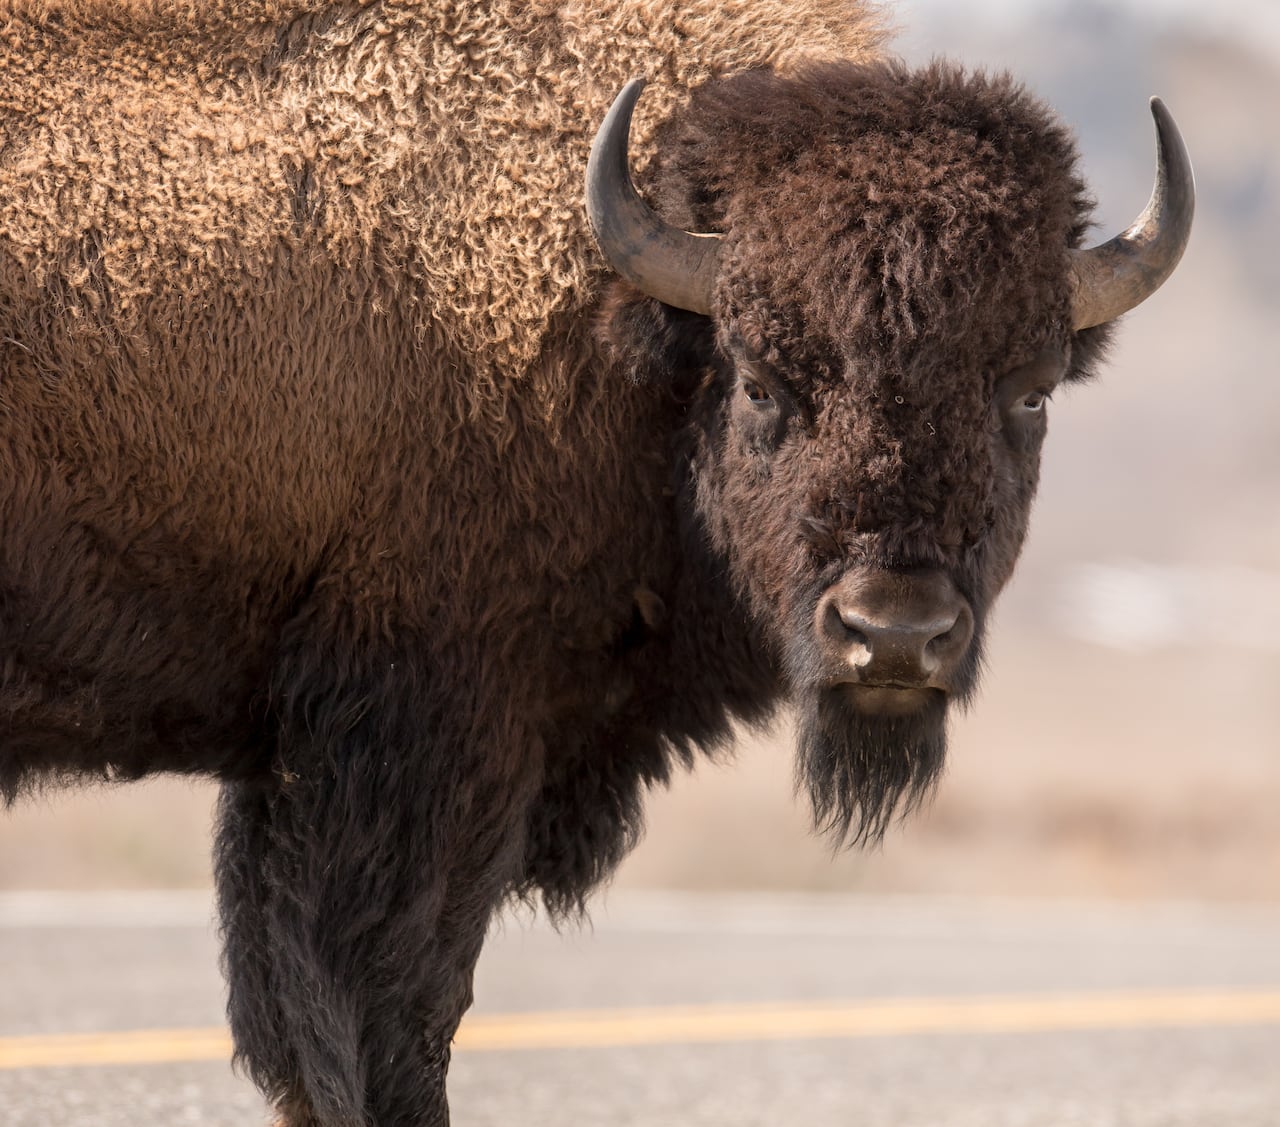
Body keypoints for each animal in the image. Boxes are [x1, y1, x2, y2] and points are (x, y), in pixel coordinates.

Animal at [0, 0, 1192, 1123]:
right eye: (760, 379)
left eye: (1028, 392)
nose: (893, 632)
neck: (622, 320)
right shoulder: (428, 731)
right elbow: (385, 1003)